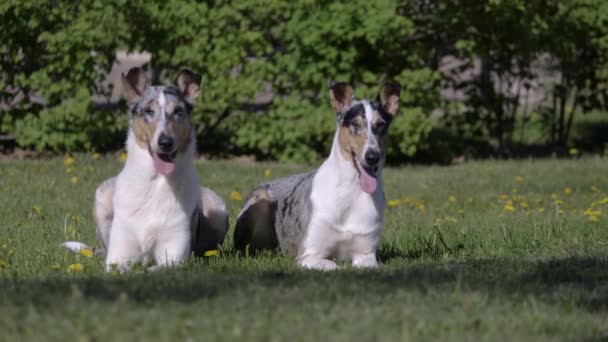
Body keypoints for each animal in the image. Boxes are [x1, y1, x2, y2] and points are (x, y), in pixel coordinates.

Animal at [62, 67, 228, 272]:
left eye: (178, 111)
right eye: (149, 111)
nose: (165, 142)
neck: (156, 182)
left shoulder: (175, 258)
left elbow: (150, 270)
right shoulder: (117, 257)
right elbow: (120, 268)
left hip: (217, 207)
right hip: (102, 194)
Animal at [233, 81, 400, 270]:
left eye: (381, 124)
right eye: (355, 124)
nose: (372, 157)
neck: (350, 190)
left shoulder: (366, 256)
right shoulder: (308, 255)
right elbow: (334, 265)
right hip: (261, 202)